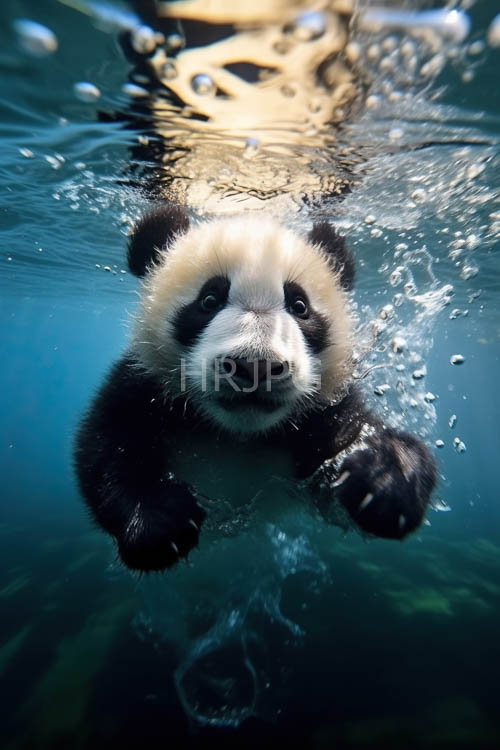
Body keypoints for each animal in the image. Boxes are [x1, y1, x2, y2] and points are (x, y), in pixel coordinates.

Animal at [74, 204, 436, 572]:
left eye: (299, 305)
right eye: (209, 300)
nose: (256, 366)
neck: (240, 435)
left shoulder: (322, 411)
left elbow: (354, 444)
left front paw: (384, 480)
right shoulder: (144, 384)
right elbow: (106, 446)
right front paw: (157, 522)